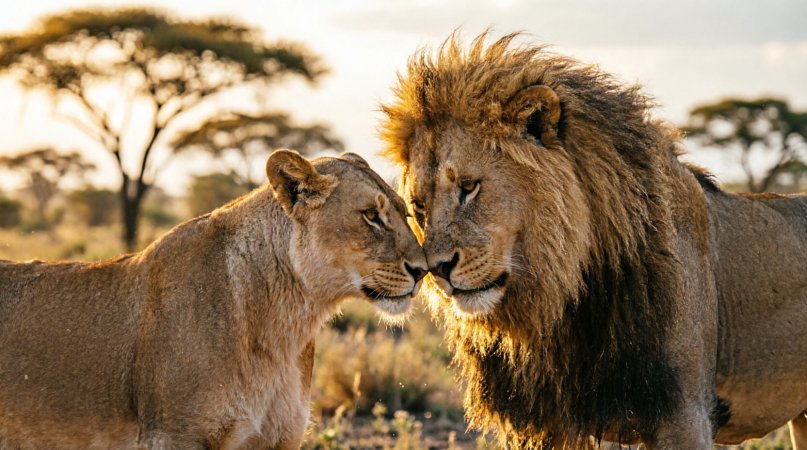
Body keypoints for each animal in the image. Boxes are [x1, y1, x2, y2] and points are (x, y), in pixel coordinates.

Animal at [0, 150, 427, 450]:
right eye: (371, 216)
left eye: (406, 212)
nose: (423, 270)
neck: (286, 325)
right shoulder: (174, 436)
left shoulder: (278, 439)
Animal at [381, 33, 807, 449]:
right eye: (419, 207)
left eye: (469, 187)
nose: (437, 270)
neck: (562, 297)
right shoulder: (552, 422)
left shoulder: (684, 413)